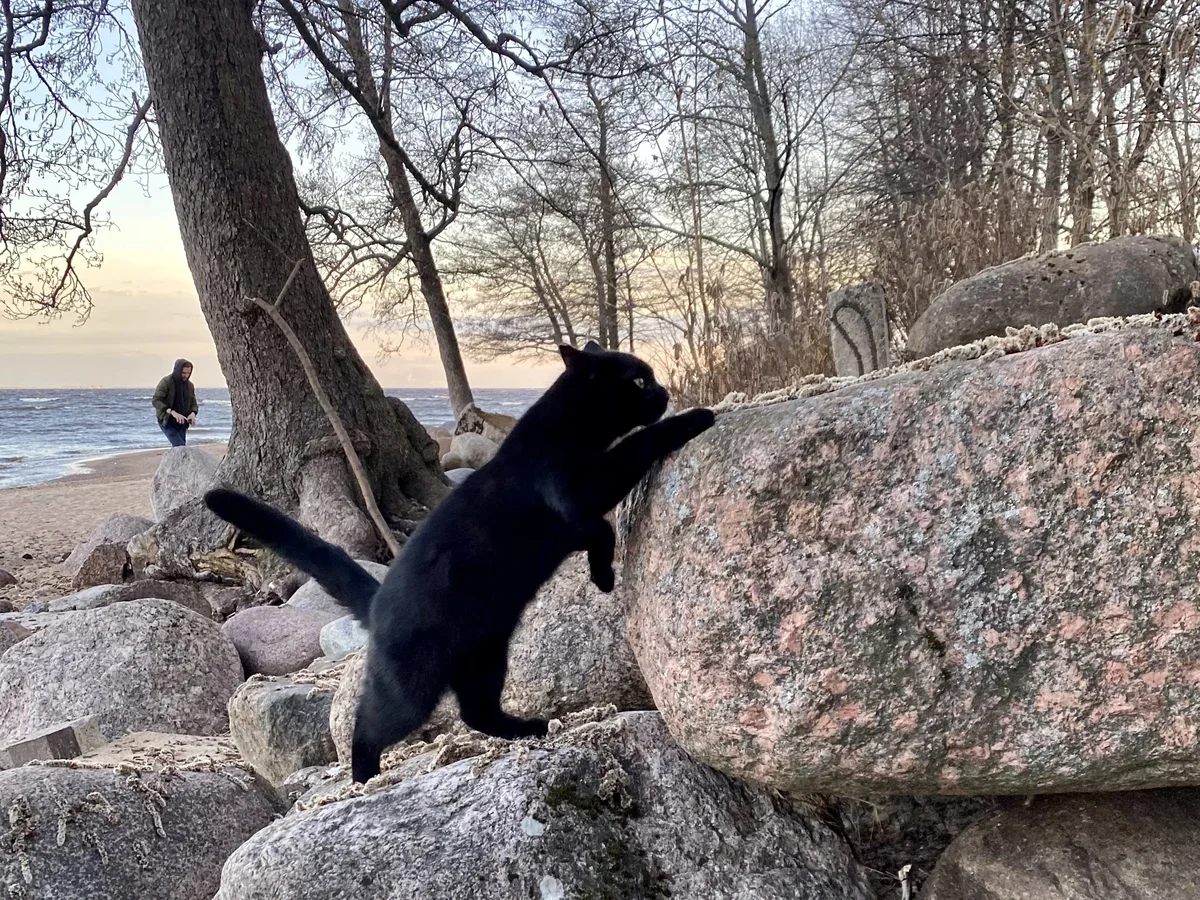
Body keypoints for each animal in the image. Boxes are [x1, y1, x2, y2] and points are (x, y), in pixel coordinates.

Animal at [204, 340, 710, 787]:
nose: (665, 392)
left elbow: (604, 521)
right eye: (639, 380)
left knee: (475, 713)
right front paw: (695, 418)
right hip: (414, 687)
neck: (563, 434)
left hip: (485, 656)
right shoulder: (575, 499)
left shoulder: (578, 512)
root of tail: (378, 601)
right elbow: (623, 477)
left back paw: (526, 728)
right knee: (367, 727)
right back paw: (364, 779)